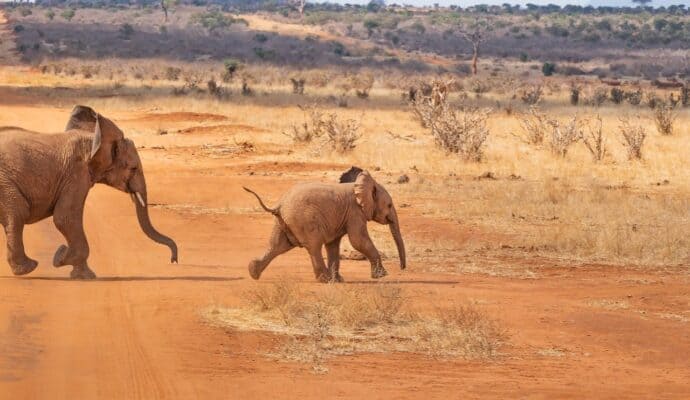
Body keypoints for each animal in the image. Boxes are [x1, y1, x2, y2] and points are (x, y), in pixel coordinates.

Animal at [0, 104, 177, 278]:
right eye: (133, 168)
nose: (173, 260)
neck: (93, 139)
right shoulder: (76, 173)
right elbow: (65, 217)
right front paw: (81, 272)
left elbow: (65, 218)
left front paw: (63, 260)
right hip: (4, 183)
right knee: (18, 213)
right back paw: (28, 268)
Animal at [243, 166, 404, 282]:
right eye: (389, 205)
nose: (402, 268)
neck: (359, 185)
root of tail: (279, 205)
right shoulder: (355, 212)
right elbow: (358, 240)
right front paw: (382, 276)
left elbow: (333, 245)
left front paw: (338, 280)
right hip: (304, 221)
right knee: (314, 246)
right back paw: (324, 280)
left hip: (283, 222)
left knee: (277, 246)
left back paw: (253, 273)